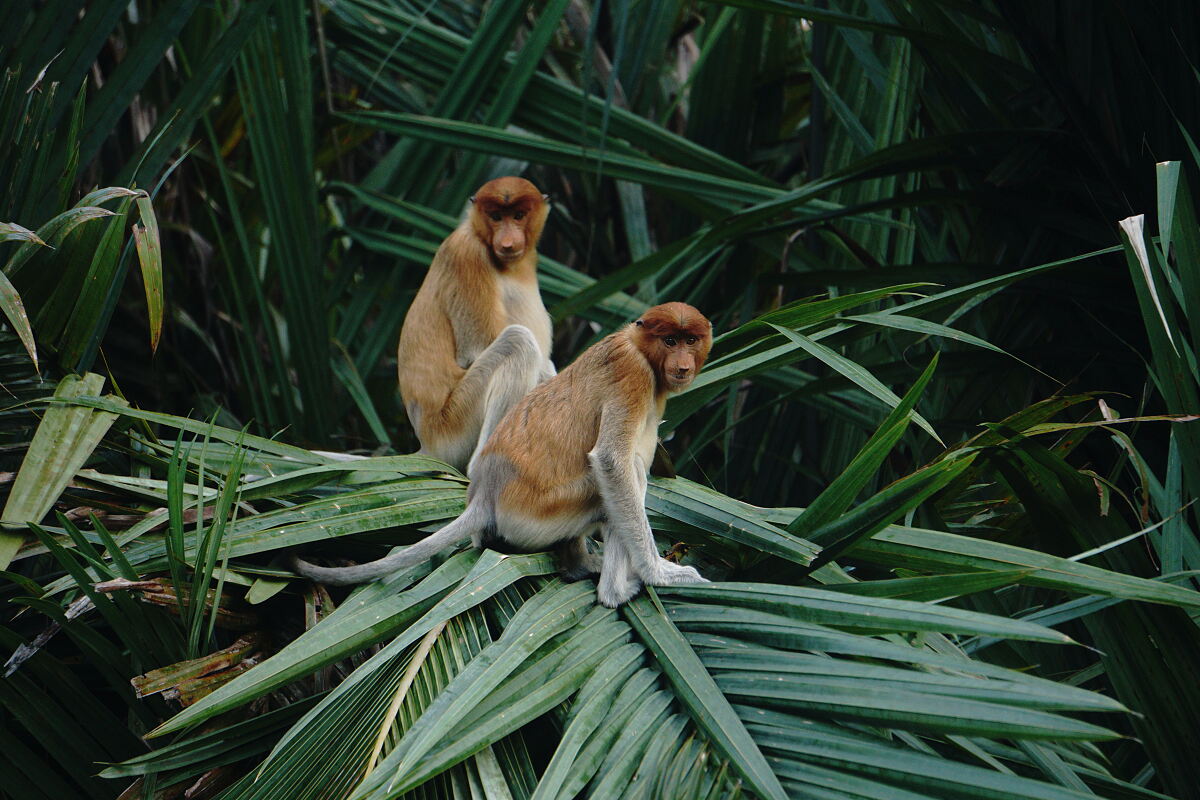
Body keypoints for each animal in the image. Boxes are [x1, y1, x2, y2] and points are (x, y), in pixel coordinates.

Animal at [292, 302, 710, 606]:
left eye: (691, 339)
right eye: (670, 341)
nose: (682, 365)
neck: (641, 349)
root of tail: (486, 493)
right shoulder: (633, 375)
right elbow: (612, 463)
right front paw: (659, 573)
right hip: (542, 510)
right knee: (630, 475)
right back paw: (615, 591)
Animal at [398, 176, 556, 470]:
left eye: (518, 215)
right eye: (496, 217)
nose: (508, 243)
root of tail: (427, 442)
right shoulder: (467, 254)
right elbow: (477, 351)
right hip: (454, 425)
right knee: (518, 342)